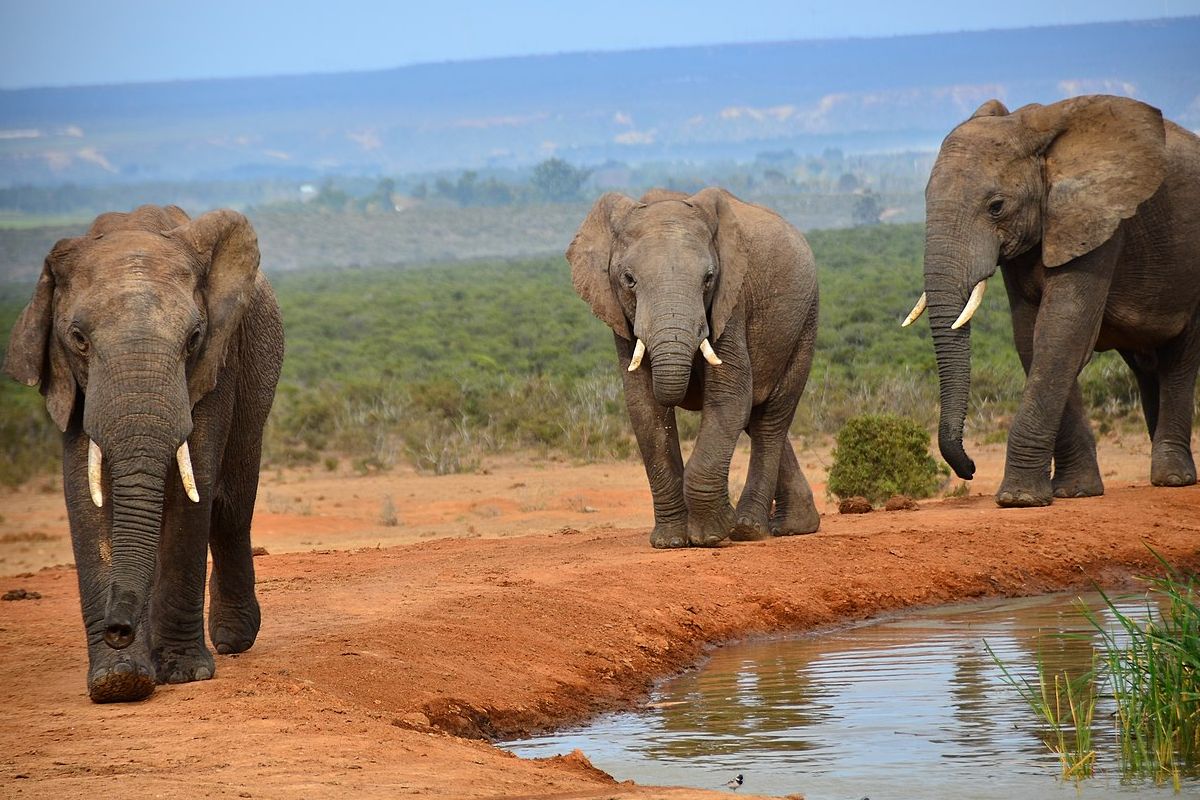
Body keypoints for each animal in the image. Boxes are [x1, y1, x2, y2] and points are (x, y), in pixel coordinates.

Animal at [4, 205, 283, 700]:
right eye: (78, 338)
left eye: (193, 337)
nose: (119, 628)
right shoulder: (74, 384)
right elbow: (85, 496)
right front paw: (119, 681)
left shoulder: (217, 362)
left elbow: (196, 482)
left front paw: (183, 673)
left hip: (260, 372)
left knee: (230, 507)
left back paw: (233, 639)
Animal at [566, 188, 820, 551]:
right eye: (629, 280)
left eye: (709, 279)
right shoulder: (621, 318)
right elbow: (644, 406)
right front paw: (670, 541)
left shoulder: (732, 300)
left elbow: (730, 393)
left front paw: (711, 535)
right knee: (754, 417)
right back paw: (796, 525)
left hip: (805, 321)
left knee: (770, 419)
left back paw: (749, 529)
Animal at [902, 94, 1200, 506]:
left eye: (996, 206)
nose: (970, 468)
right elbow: (1031, 338)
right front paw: (1075, 492)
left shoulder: (1099, 221)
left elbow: (1062, 335)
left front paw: (1019, 499)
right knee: (1146, 365)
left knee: (1179, 356)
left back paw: (1173, 479)